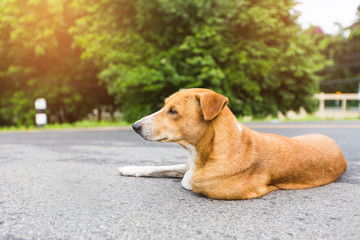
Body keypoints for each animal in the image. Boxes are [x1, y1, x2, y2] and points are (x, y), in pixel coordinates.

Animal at [119, 88, 348, 199]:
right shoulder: (187, 165)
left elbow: (188, 181)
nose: (135, 126)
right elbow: (158, 168)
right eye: (164, 105)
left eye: (173, 111)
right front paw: (130, 168)